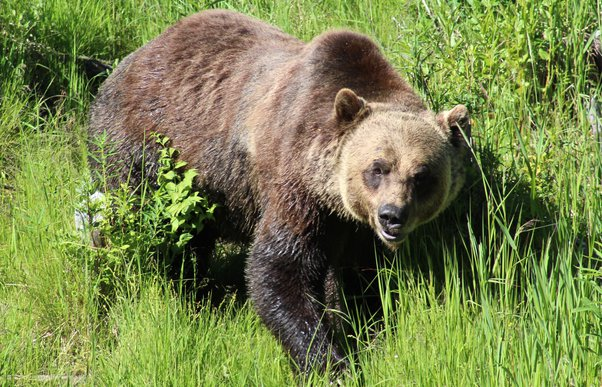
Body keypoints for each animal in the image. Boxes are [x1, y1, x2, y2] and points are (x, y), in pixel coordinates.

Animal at [89, 9, 472, 376]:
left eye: (422, 176)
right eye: (377, 168)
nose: (392, 216)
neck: (332, 197)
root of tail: (131, 57)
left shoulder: (352, 225)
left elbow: (361, 277)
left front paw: (367, 332)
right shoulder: (294, 181)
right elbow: (280, 267)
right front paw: (330, 363)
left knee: (193, 240)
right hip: (146, 149)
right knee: (128, 224)